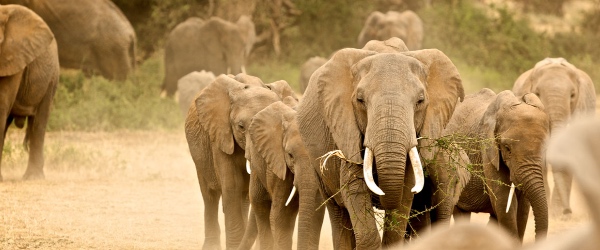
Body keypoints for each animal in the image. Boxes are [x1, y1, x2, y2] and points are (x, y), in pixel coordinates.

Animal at [183, 73, 296, 249]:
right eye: (241, 127)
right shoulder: (221, 135)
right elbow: (232, 185)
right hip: (200, 156)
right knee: (210, 195)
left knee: (243, 198)